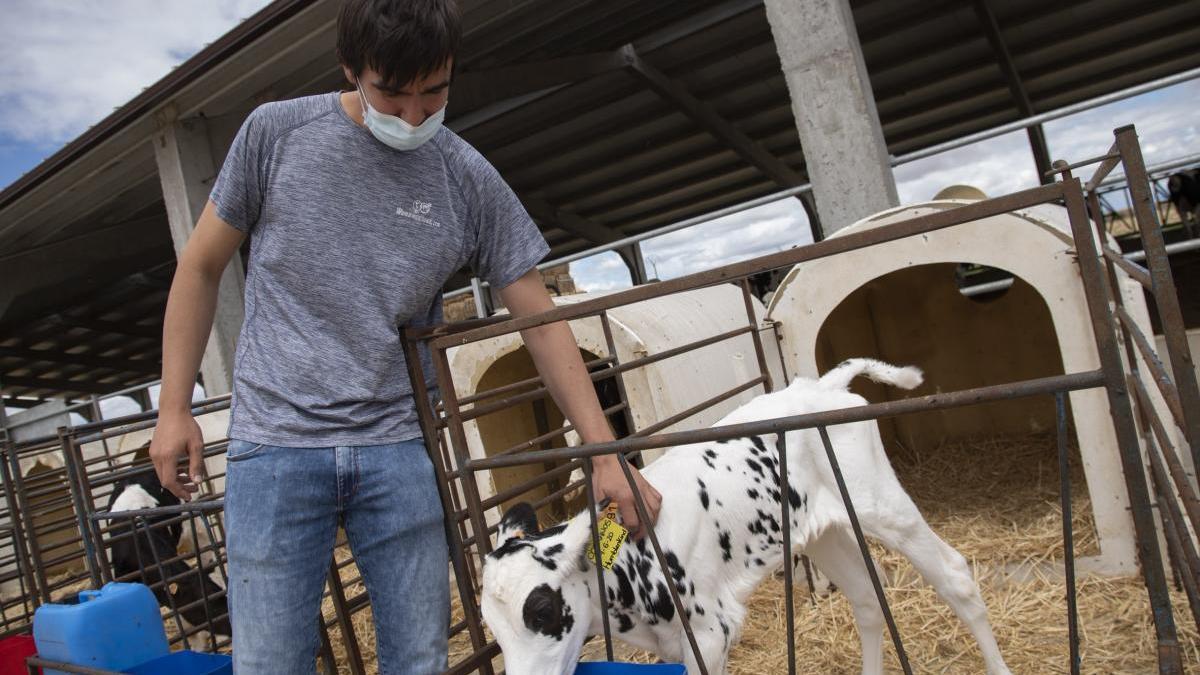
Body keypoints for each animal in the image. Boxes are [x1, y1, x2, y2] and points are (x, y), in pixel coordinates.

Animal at [477, 355, 1012, 667]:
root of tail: (823, 385)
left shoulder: (710, 633)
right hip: (822, 529)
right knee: (866, 596)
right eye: (493, 629)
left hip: (879, 502)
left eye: (541, 609)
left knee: (954, 574)